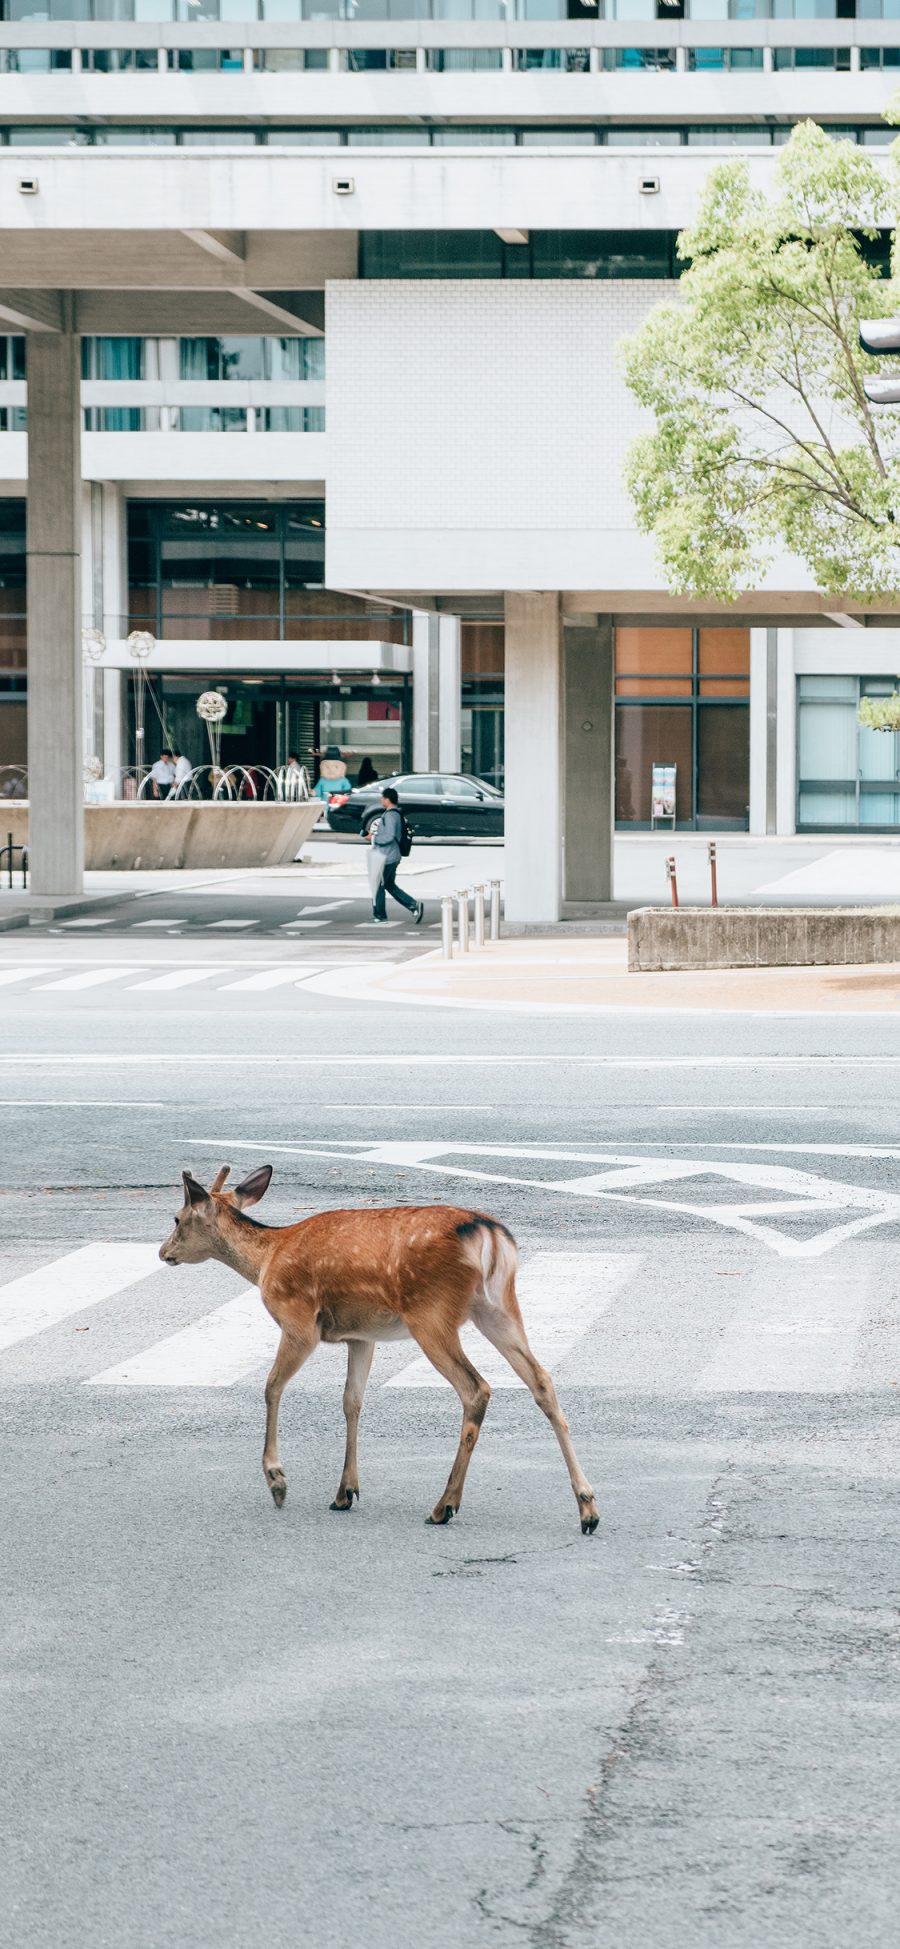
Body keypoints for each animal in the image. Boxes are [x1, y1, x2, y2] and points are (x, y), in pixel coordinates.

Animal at [158, 1161, 600, 1528]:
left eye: (177, 1218)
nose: (163, 1252)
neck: (267, 1257)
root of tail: (489, 1234)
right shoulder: (361, 1336)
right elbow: (352, 1400)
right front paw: (345, 1492)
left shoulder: (299, 1320)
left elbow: (271, 1387)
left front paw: (277, 1481)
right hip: (499, 1306)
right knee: (542, 1381)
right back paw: (587, 1508)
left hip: (431, 1313)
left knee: (476, 1388)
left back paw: (444, 1505)